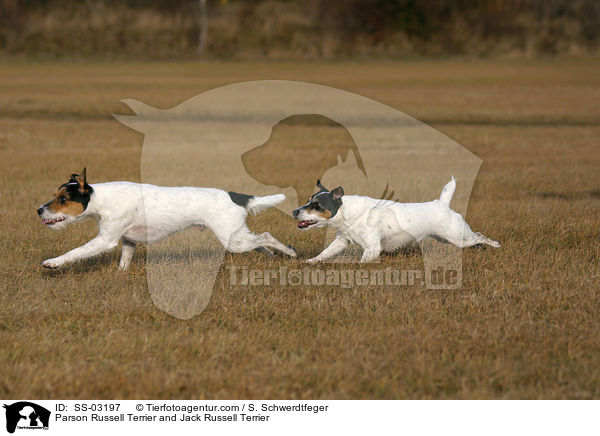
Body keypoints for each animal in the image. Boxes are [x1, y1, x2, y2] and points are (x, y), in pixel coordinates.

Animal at [37, 169, 296, 270]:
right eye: (55, 196)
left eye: (62, 199)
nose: (39, 210)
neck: (101, 199)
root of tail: (236, 196)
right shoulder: (128, 240)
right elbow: (124, 261)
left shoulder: (105, 239)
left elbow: (76, 252)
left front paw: (53, 262)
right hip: (238, 237)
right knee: (260, 242)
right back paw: (274, 255)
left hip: (233, 240)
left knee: (267, 237)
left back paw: (290, 252)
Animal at [292, 178, 500, 262]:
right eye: (308, 200)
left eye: (316, 205)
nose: (294, 211)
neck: (349, 214)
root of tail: (441, 203)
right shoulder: (341, 241)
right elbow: (324, 254)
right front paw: (310, 261)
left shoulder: (372, 248)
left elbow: (362, 262)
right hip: (446, 238)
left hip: (458, 237)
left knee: (479, 236)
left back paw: (495, 244)